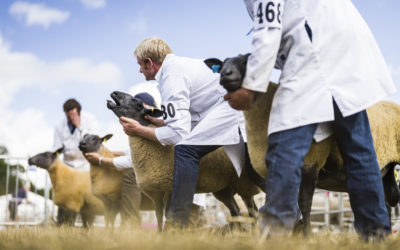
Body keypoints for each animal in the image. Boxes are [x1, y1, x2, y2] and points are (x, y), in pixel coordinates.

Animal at [106, 92, 260, 230]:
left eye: (137, 103)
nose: (115, 93)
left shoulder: (170, 187)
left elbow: (169, 215)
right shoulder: (156, 191)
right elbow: (159, 217)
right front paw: (159, 235)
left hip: (243, 182)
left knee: (253, 211)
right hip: (224, 188)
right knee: (236, 211)